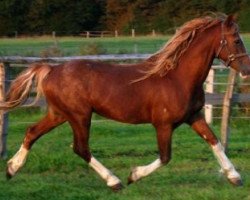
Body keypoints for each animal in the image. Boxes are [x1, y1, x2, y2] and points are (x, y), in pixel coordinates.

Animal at [1, 14, 250, 191]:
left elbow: (215, 141)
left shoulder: (194, 116)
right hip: (80, 116)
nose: (247, 71)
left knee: (32, 132)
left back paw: (12, 168)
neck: (177, 78)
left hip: (59, 114)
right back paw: (114, 181)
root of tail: (51, 70)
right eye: (237, 40)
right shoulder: (163, 125)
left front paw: (234, 177)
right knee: (80, 148)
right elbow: (165, 157)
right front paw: (133, 175)